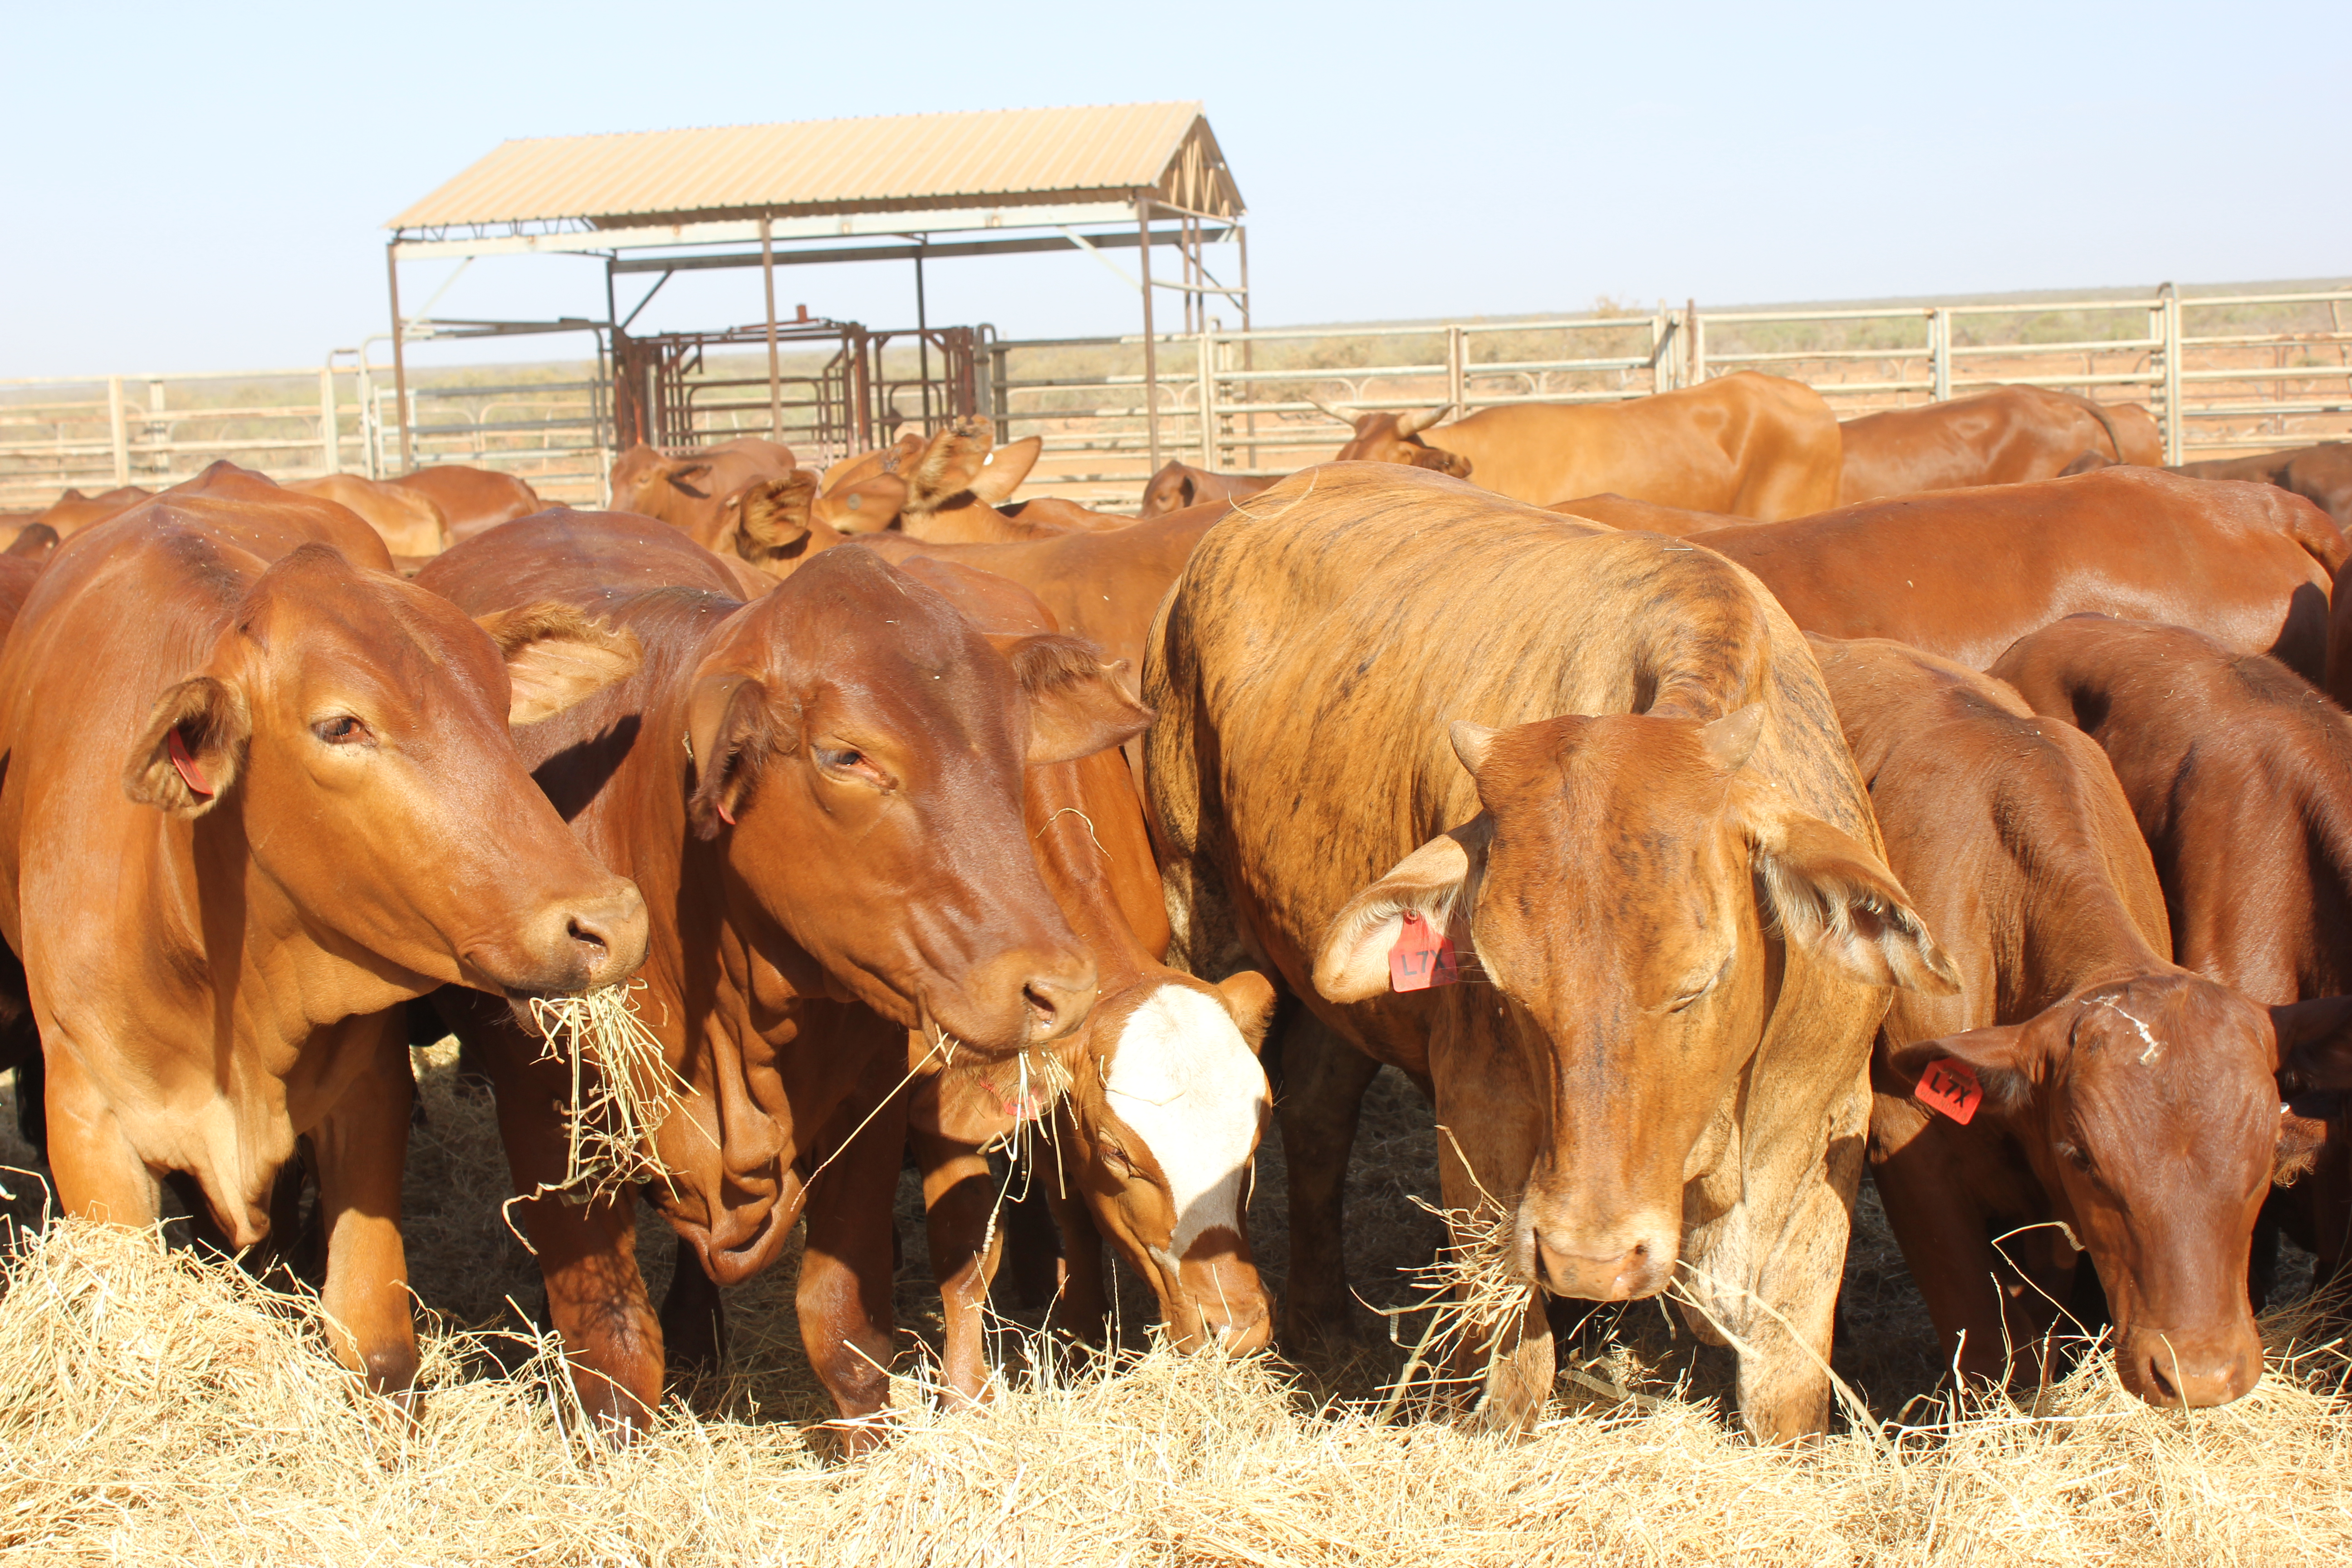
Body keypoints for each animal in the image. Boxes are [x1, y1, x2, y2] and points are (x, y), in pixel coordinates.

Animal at [415, 509, 1146, 1440]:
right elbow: (612, 1349)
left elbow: (843, 1323)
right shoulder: (545, 1112)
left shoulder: (869, 1106)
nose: (1057, 988)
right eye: (845, 757)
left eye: (1016, 749)